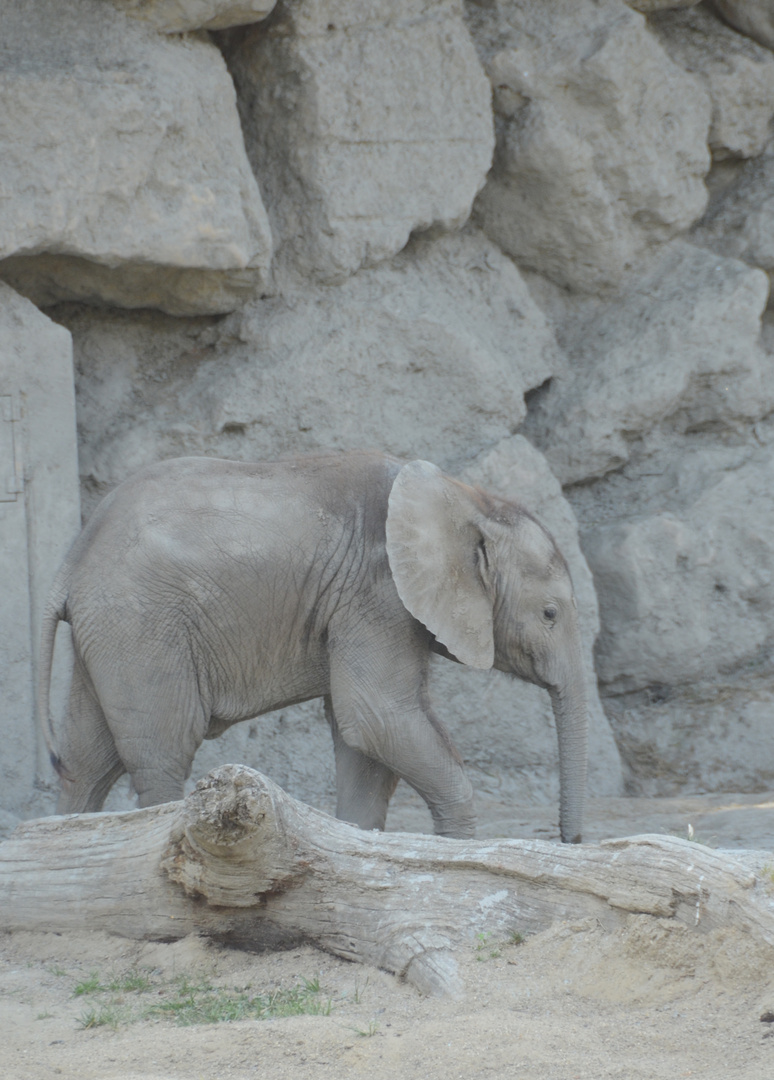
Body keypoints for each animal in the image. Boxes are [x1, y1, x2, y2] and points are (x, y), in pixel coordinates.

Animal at [37, 451, 587, 838]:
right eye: (550, 614)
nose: (569, 840)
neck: (467, 500)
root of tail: (71, 560)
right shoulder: (378, 594)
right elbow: (376, 716)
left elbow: (363, 740)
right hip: (141, 623)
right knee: (163, 750)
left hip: (111, 631)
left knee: (87, 760)